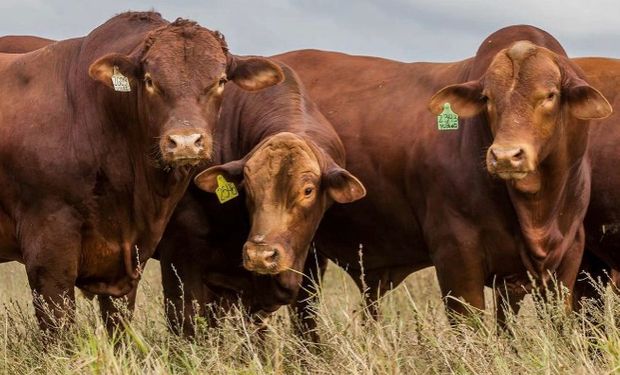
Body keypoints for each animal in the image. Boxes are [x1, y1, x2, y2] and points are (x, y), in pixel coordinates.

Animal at [0, 11, 282, 332]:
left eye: (221, 80)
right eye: (149, 80)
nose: (186, 142)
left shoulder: (128, 257)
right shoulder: (48, 247)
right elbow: (59, 327)